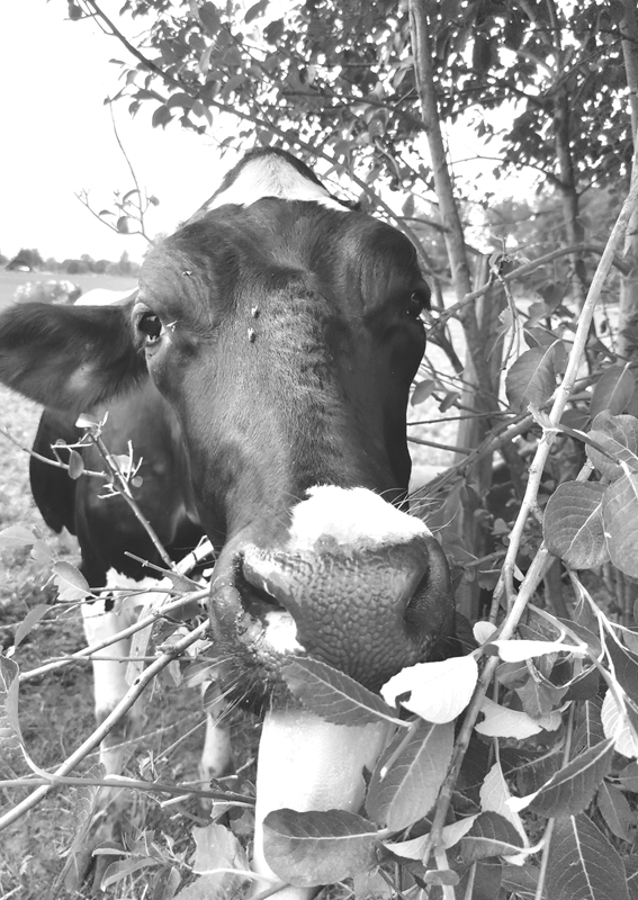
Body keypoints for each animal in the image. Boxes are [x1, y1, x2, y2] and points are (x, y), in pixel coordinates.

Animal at [0, 148, 456, 899]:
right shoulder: (99, 575)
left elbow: (220, 688)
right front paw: (102, 827)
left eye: (413, 302)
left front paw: (212, 777)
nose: (351, 606)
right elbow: (110, 716)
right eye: (150, 322)